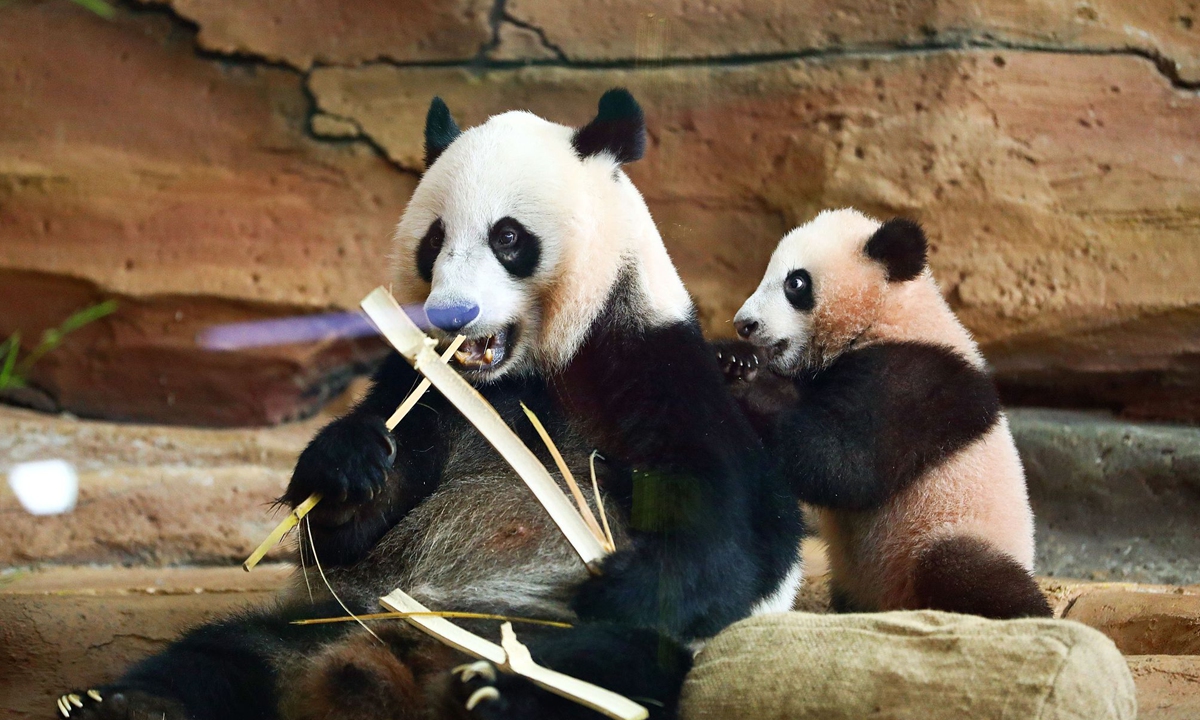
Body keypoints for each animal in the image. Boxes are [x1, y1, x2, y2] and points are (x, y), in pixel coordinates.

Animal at [61, 90, 804, 720]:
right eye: (434, 239)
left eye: (508, 237)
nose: (451, 314)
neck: (520, 374)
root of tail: (398, 667)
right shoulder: (419, 388)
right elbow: (345, 538)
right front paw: (349, 464)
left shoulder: (648, 362)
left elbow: (738, 533)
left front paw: (620, 583)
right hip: (328, 620)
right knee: (227, 656)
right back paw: (124, 705)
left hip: (539, 635)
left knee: (606, 667)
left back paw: (491, 691)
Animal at [714, 208, 1051, 619]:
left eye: (795, 282)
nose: (744, 324)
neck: (887, 312)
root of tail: (892, 603)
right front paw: (731, 358)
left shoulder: (917, 377)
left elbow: (845, 462)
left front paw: (743, 379)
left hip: (952, 530)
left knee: (964, 569)